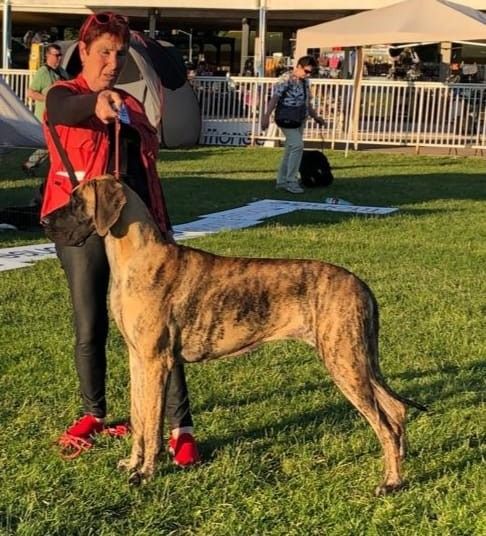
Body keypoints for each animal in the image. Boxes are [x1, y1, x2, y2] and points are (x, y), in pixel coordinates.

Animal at [46, 175, 426, 495]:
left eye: (76, 200)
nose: (45, 222)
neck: (137, 257)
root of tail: (361, 285)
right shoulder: (138, 359)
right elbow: (139, 419)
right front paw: (132, 463)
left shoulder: (155, 362)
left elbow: (152, 425)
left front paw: (146, 473)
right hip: (357, 359)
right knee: (395, 409)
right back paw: (402, 462)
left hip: (344, 361)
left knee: (383, 424)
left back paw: (391, 482)